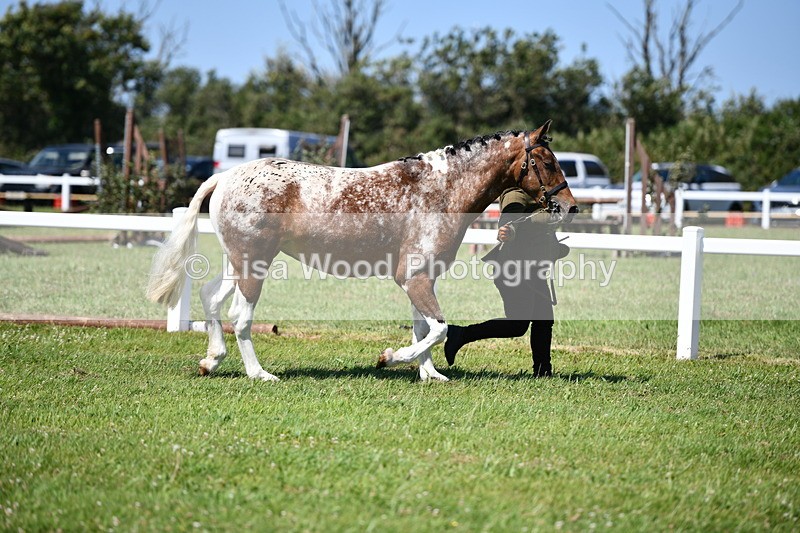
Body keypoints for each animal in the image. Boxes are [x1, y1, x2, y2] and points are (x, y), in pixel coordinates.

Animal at [146, 120, 578, 382]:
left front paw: (430, 375)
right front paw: (391, 358)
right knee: (240, 315)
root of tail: (226, 176)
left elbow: (425, 327)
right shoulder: (414, 277)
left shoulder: (421, 278)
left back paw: (211, 360)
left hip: (240, 263)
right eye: (545, 161)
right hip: (254, 266)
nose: (570, 206)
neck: (440, 190)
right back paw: (259, 374)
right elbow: (438, 328)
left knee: (211, 298)